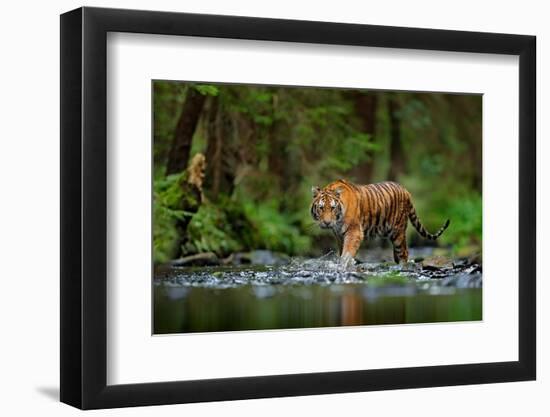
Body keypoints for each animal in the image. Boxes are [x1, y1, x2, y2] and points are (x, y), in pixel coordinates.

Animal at [312, 179, 450, 264]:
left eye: (332, 208)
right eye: (321, 208)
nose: (327, 223)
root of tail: (405, 190)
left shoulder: (354, 232)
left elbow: (347, 252)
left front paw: (344, 264)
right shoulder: (339, 235)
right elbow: (342, 250)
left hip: (398, 232)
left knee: (404, 252)